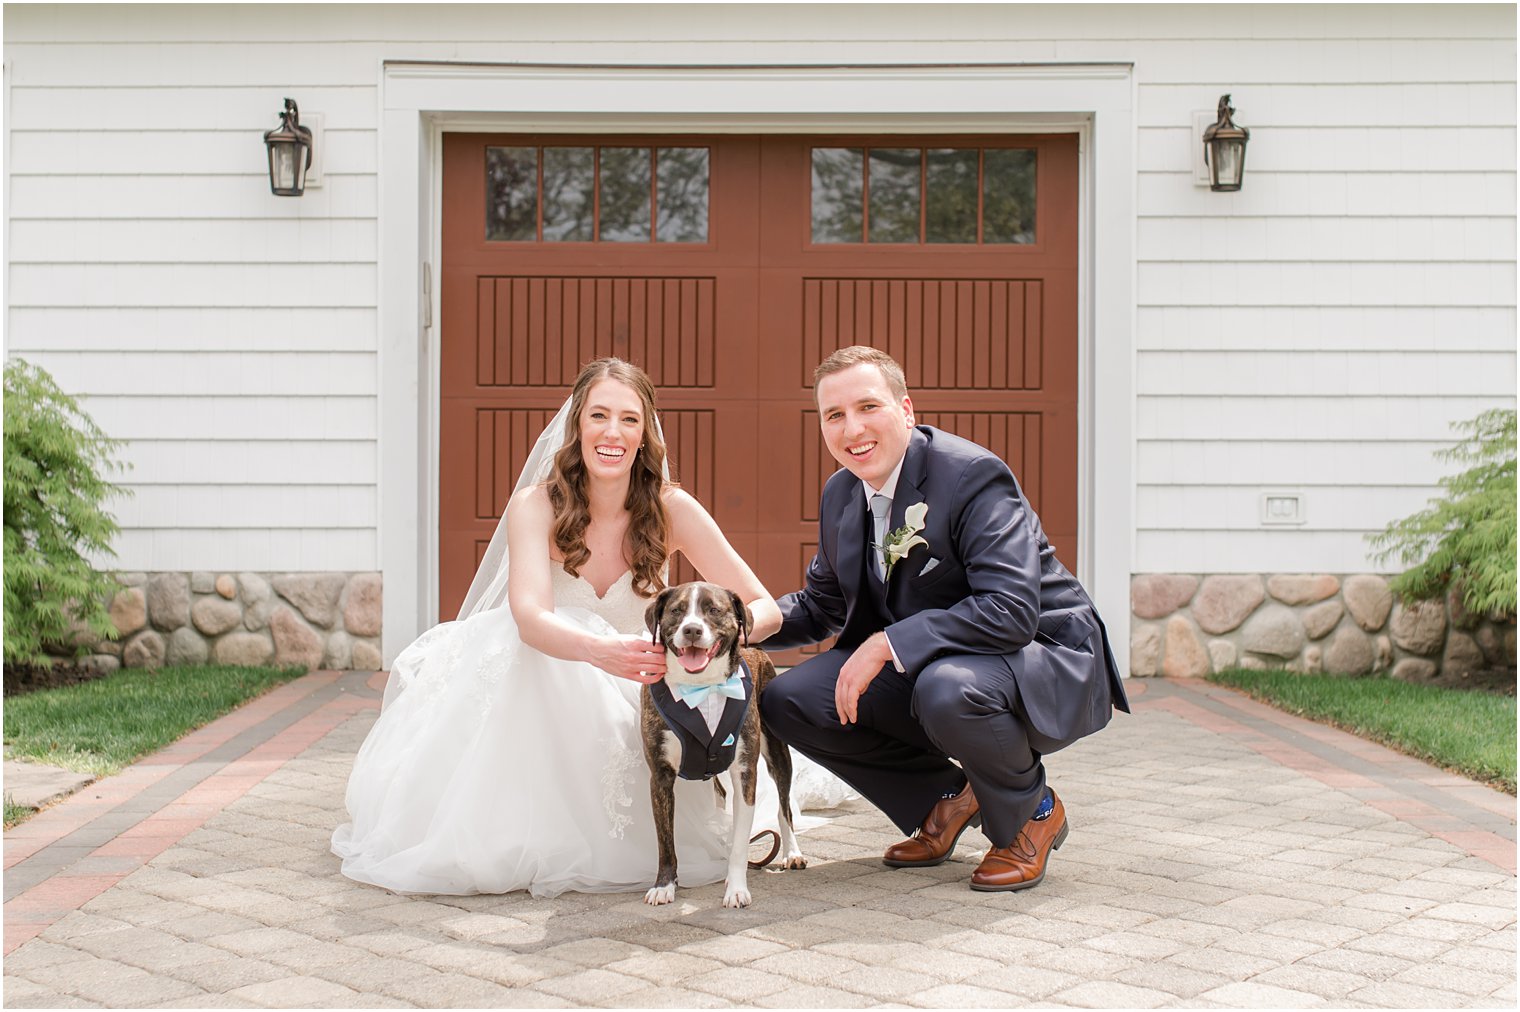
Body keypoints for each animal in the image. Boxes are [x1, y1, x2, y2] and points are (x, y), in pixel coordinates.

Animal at [641, 580, 808, 899]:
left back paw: (791, 852)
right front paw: (664, 885)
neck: (701, 686)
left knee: (784, 806)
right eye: (677, 610)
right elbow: (665, 840)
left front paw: (737, 889)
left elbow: (741, 841)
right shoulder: (660, 775)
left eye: (714, 610)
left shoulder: (744, 772)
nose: (692, 630)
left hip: (777, 753)